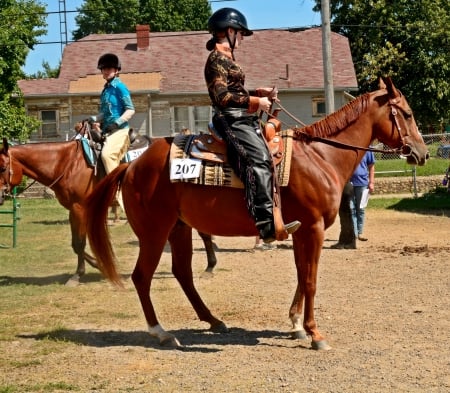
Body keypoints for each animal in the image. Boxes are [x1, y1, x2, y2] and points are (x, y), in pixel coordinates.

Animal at [0, 136, 218, 284]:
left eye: (2, 167)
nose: (1, 196)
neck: (66, 163)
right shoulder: (74, 210)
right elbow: (76, 244)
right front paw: (98, 265)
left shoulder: (79, 208)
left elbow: (79, 243)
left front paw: (80, 274)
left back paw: (210, 266)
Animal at [85, 77, 428, 350]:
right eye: (407, 114)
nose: (422, 153)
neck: (321, 156)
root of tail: (131, 166)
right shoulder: (313, 228)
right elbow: (311, 279)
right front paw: (315, 333)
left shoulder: (300, 231)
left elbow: (301, 275)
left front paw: (296, 325)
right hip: (154, 232)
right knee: (142, 277)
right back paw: (162, 333)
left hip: (179, 228)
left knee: (183, 274)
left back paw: (213, 321)